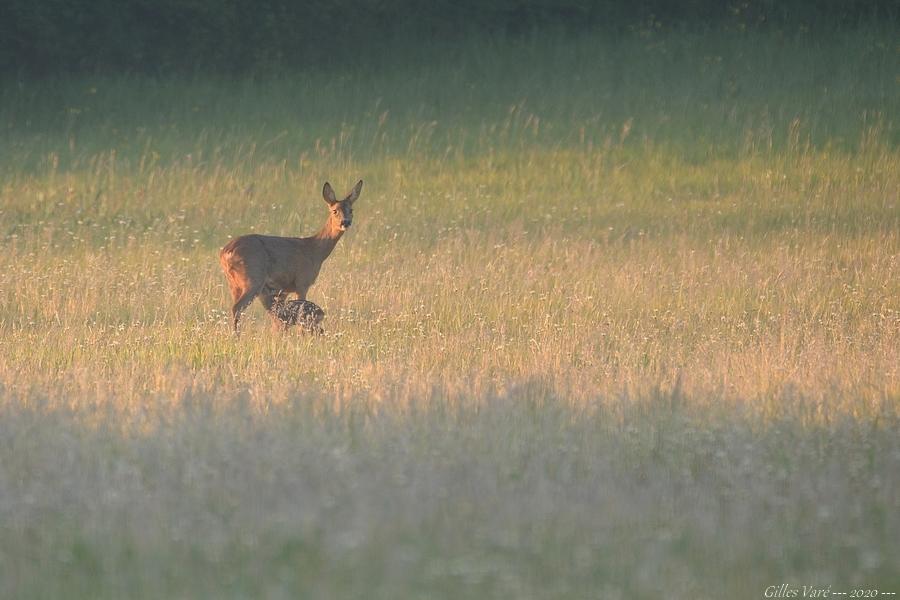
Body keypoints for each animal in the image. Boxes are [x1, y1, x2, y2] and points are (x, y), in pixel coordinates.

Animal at [219, 180, 362, 336]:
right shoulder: (302, 282)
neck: (315, 250)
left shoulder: (283, 290)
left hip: (234, 283)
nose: (345, 222)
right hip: (253, 278)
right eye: (334, 210)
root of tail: (225, 252)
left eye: (351, 210)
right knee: (237, 308)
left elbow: (278, 321)